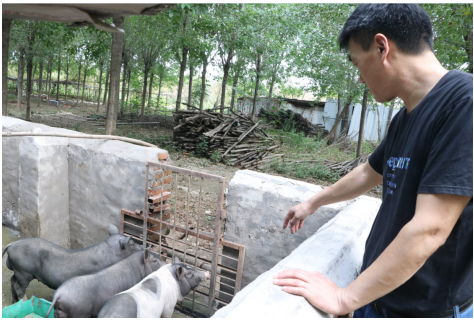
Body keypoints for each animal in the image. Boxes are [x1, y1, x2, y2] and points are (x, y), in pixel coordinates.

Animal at [1, 225, 143, 302]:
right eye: (132, 244)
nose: (143, 247)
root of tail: (11, 245)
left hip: (18, 271)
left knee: (12, 281)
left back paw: (14, 302)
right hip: (23, 272)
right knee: (19, 287)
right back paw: (24, 301)